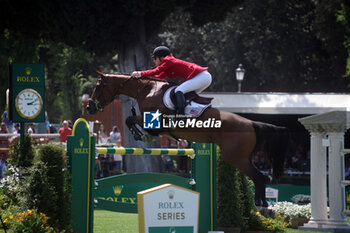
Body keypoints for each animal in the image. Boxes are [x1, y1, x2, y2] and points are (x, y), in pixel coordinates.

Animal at [87, 72, 290, 207]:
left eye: (98, 87)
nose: (89, 108)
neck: (147, 90)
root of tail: (251, 124)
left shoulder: (155, 122)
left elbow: (131, 120)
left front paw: (142, 135)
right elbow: (131, 119)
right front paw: (143, 135)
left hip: (235, 158)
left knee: (259, 176)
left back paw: (261, 205)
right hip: (242, 157)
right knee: (260, 176)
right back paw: (262, 205)